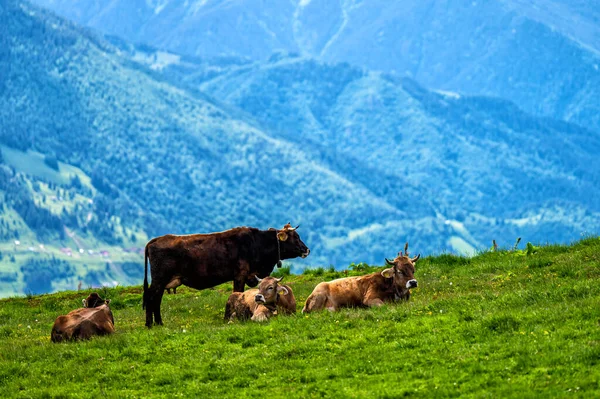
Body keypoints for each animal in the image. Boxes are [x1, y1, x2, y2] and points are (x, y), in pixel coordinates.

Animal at [144, 223, 310, 326]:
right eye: (295, 237)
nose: (307, 250)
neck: (257, 244)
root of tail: (155, 240)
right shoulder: (240, 276)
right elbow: (238, 293)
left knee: (156, 299)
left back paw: (158, 323)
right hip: (159, 279)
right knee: (151, 298)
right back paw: (150, 324)